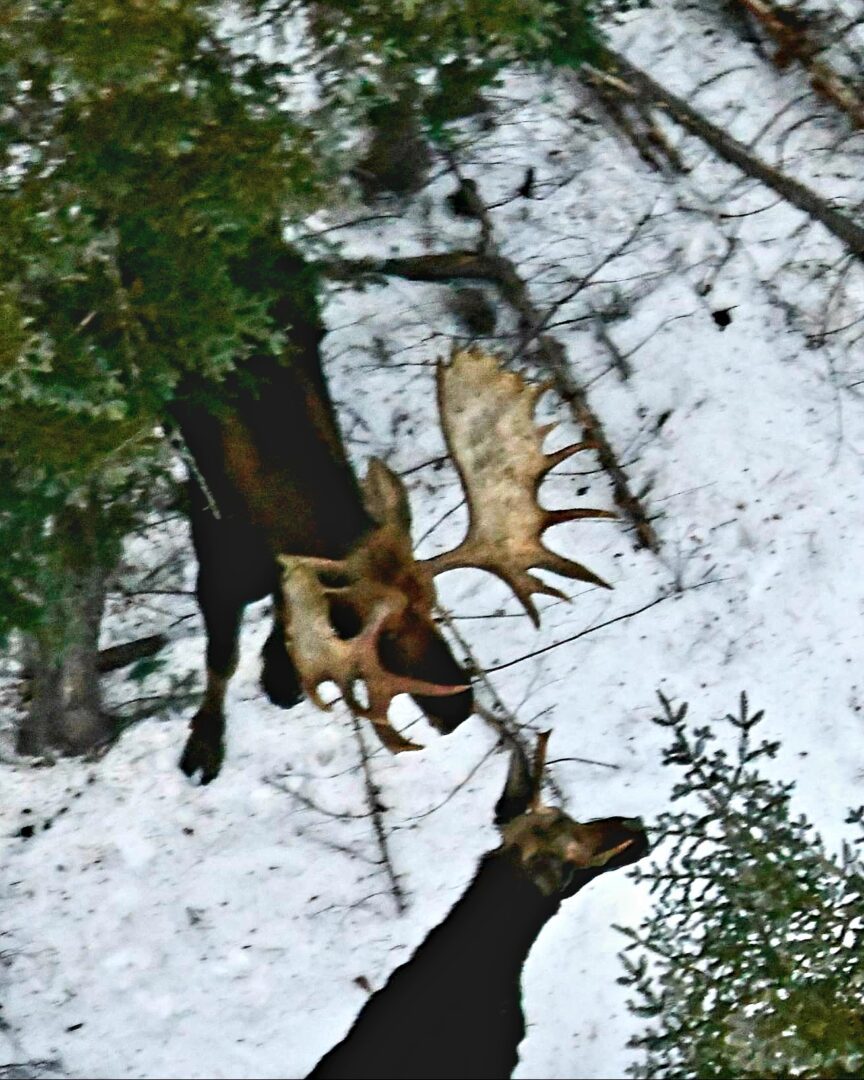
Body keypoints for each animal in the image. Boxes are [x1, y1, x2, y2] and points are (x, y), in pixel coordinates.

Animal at [171, 243, 609, 786]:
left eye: (434, 606)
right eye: (377, 633)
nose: (459, 707)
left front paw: (278, 669)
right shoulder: (217, 563)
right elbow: (221, 661)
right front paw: (203, 744)